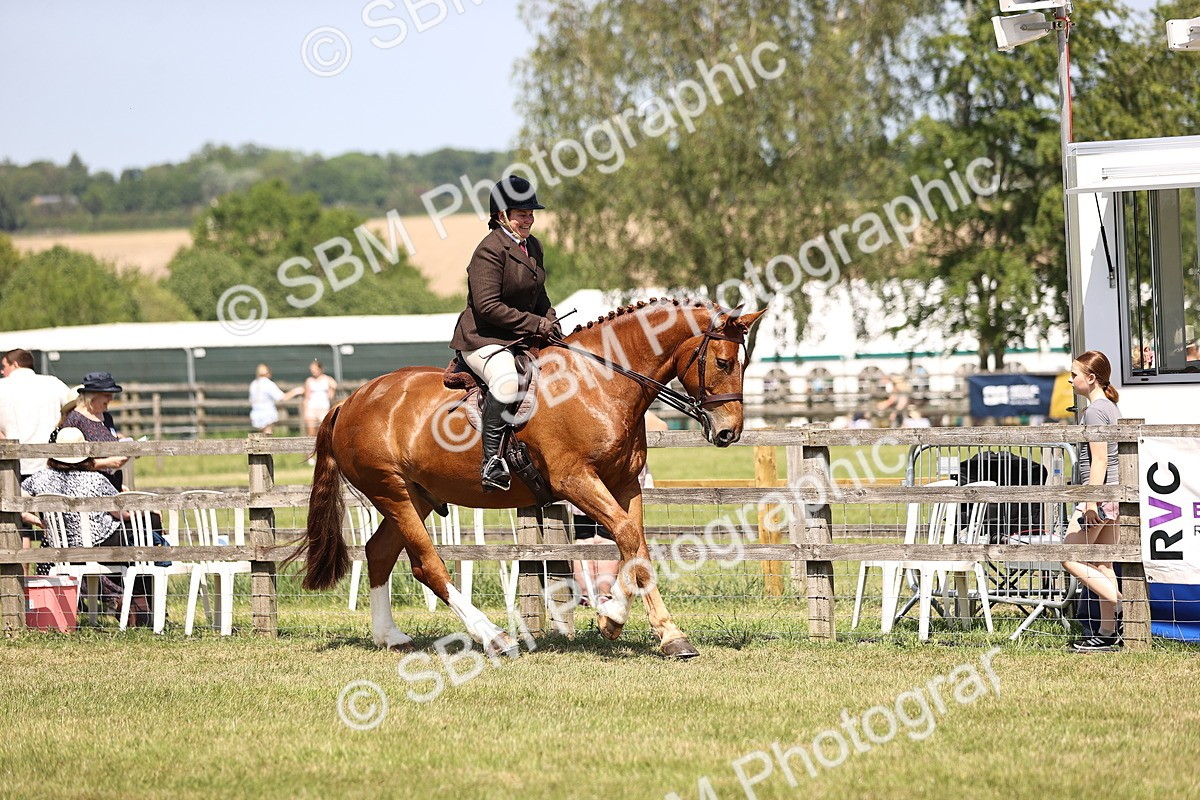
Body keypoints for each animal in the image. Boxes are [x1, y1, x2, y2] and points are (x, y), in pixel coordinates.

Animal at [299, 298, 765, 659]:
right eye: (723, 362)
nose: (729, 432)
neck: (600, 383)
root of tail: (350, 401)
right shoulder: (575, 479)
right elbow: (628, 536)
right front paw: (613, 616)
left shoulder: (625, 484)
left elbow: (637, 546)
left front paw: (664, 635)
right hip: (392, 492)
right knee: (427, 564)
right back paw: (495, 638)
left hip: (417, 497)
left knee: (379, 553)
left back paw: (390, 636)